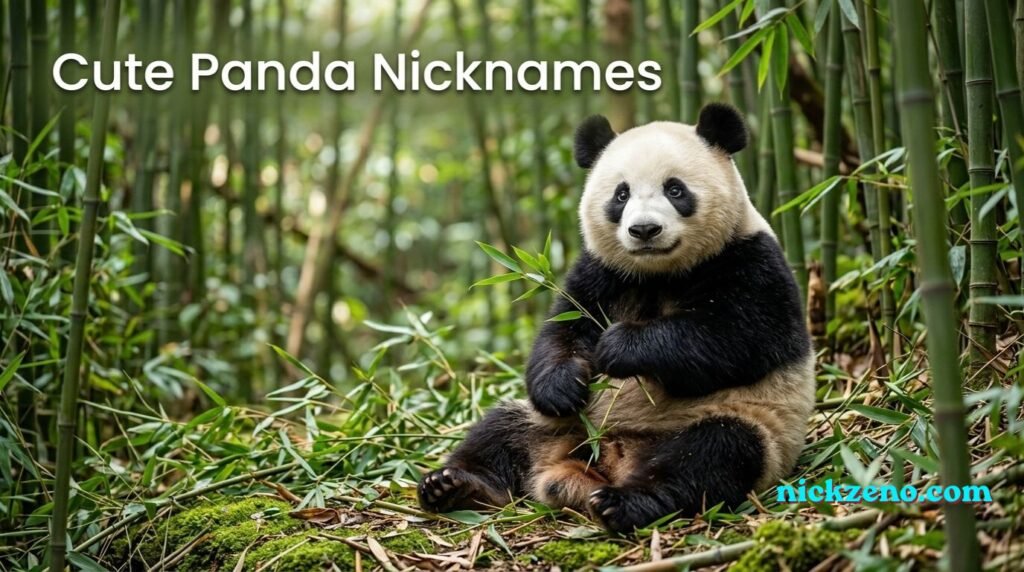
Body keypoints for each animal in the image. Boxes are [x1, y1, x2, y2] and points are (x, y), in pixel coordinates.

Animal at [418, 103, 815, 533]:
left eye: (675, 189)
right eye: (621, 194)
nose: (644, 230)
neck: (660, 272)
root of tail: (602, 460)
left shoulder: (752, 260)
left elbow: (738, 338)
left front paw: (620, 347)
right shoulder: (602, 271)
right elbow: (562, 331)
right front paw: (562, 385)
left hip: (747, 425)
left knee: (711, 454)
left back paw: (624, 503)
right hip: (553, 424)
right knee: (499, 430)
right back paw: (455, 485)